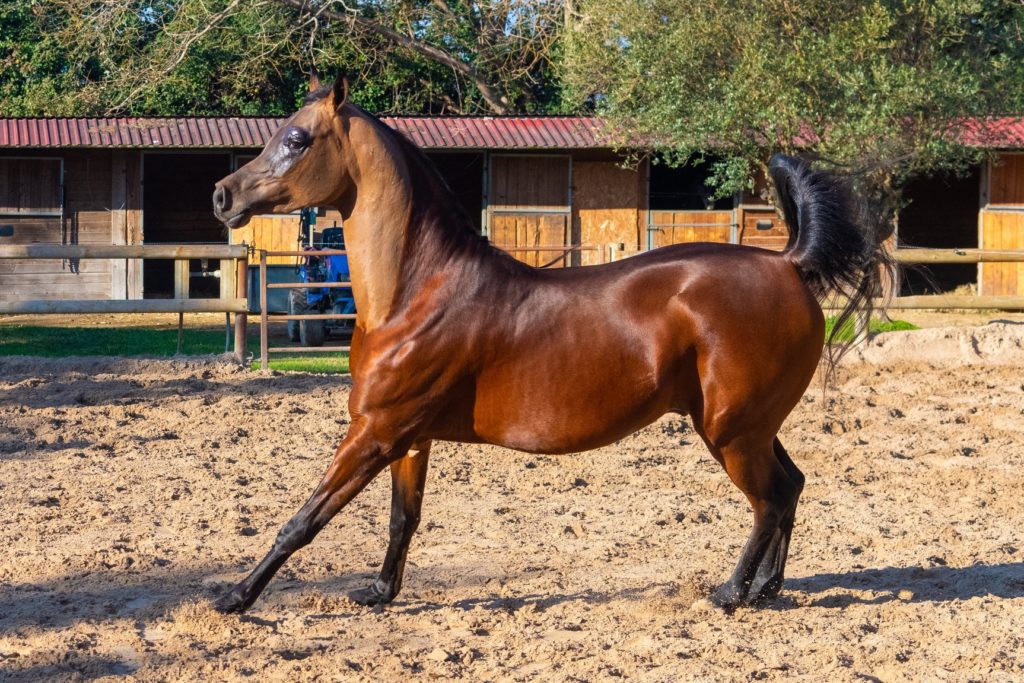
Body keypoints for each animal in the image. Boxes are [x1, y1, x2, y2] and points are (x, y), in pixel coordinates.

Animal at [209, 74, 888, 614]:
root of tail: (788, 263)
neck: (415, 292)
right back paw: (770, 589)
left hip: (731, 431)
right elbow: (404, 518)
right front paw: (378, 593)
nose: (223, 195)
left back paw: (730, 595)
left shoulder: (374, 431)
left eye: (297, 138)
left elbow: (302, 522)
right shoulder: (408, 437)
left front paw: (234, 598)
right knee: (792, 485)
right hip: (748, 424)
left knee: (768, 500)